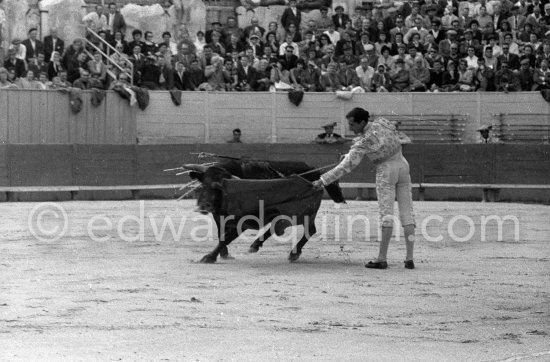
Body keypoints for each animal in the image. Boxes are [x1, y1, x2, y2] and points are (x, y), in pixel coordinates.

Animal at [187, 160, 350, 262]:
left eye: (218, 187)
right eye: (203, 184)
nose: (204, 206)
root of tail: (317, 174)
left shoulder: (243, 221)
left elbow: (226, 237)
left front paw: (209, 257)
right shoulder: (219, 216)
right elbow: (222, 235)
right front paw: (224, 254)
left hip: (306, 213)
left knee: (310, 230)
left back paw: (294, 253)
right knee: (275, 227)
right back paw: (255, 245)